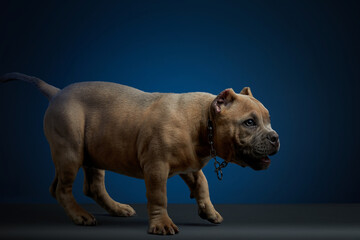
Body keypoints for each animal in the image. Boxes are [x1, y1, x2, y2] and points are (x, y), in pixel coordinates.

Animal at [0, 72, 280, 234]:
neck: (204, 121)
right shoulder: (156, 166)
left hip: (94, 152)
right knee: (62, 188)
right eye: (249, 122)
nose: (276, 137)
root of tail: (57, 92)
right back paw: (80, 215)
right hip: (70, 150)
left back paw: (117, 208)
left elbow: (202, 185)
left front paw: (209, 212)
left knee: (91, 186)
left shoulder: (189, 164)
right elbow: (158, 196)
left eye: (268, 120)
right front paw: (161, 225)